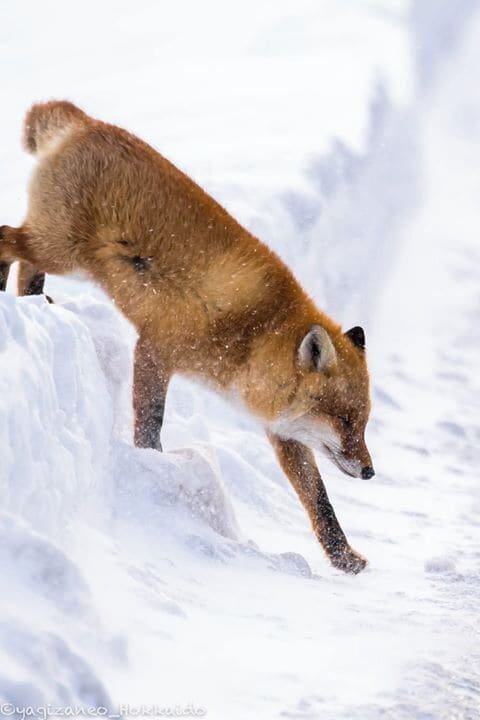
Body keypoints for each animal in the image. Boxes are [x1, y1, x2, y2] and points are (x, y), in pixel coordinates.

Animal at [0, 101, 375, 574]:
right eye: (345, 420)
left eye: (364, 422)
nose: (371, 472)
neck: (256, 334)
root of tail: (87, 121)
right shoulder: (155, 349)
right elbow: (150, 424)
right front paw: (153, 468)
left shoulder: (280, 430)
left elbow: (319, 501)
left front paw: (343, 557)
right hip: (61, 249)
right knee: (4, 238)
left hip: (66, 257)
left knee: (24, 264)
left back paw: (34, 301)